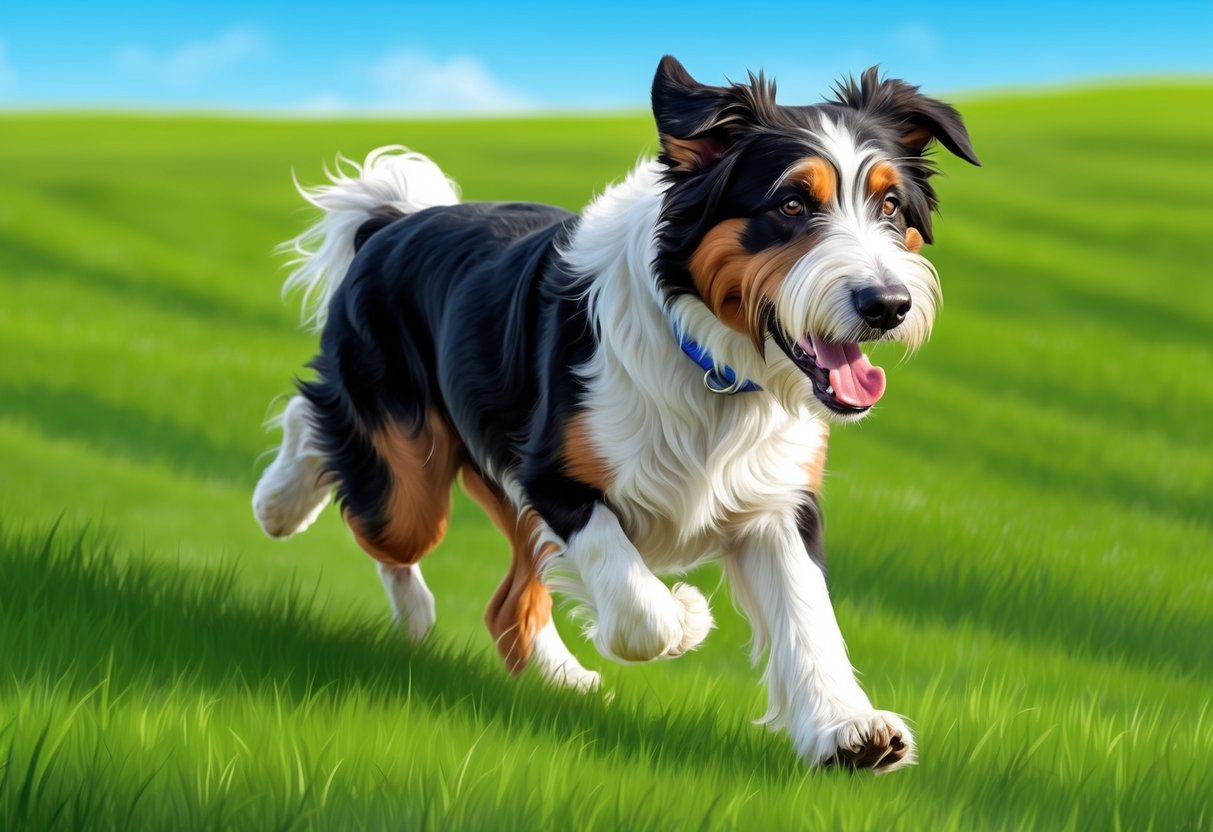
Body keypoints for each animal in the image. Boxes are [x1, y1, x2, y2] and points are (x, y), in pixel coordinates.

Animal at [253, 57, 975, 776]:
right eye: (792, 204)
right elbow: (636, 605)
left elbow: (807, 615)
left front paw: (848, 729)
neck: (709, 363)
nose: (887, 305)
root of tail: (395, 221)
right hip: (409, 490)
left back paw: (560, 678)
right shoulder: (554, 479)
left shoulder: (777, 499)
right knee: (335, 451)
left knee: (505, 603)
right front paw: (687, 617)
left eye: (889, 205)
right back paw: (299, 520)